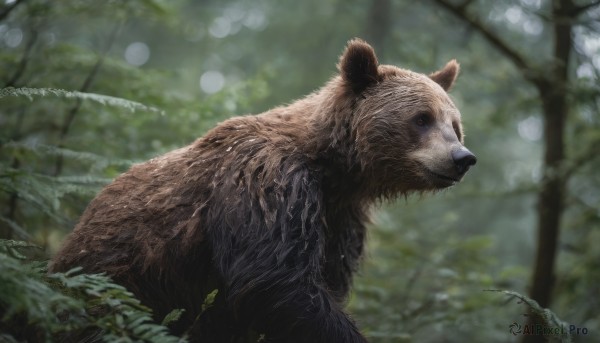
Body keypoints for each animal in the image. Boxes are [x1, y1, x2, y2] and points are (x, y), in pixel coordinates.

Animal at [49, 39, 476, 342]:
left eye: (454, 123)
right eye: (422, 118)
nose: (462, 158)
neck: (335, 170)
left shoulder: (339, 219)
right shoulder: (265, 182)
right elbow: (277, 283)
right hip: (117, 281)